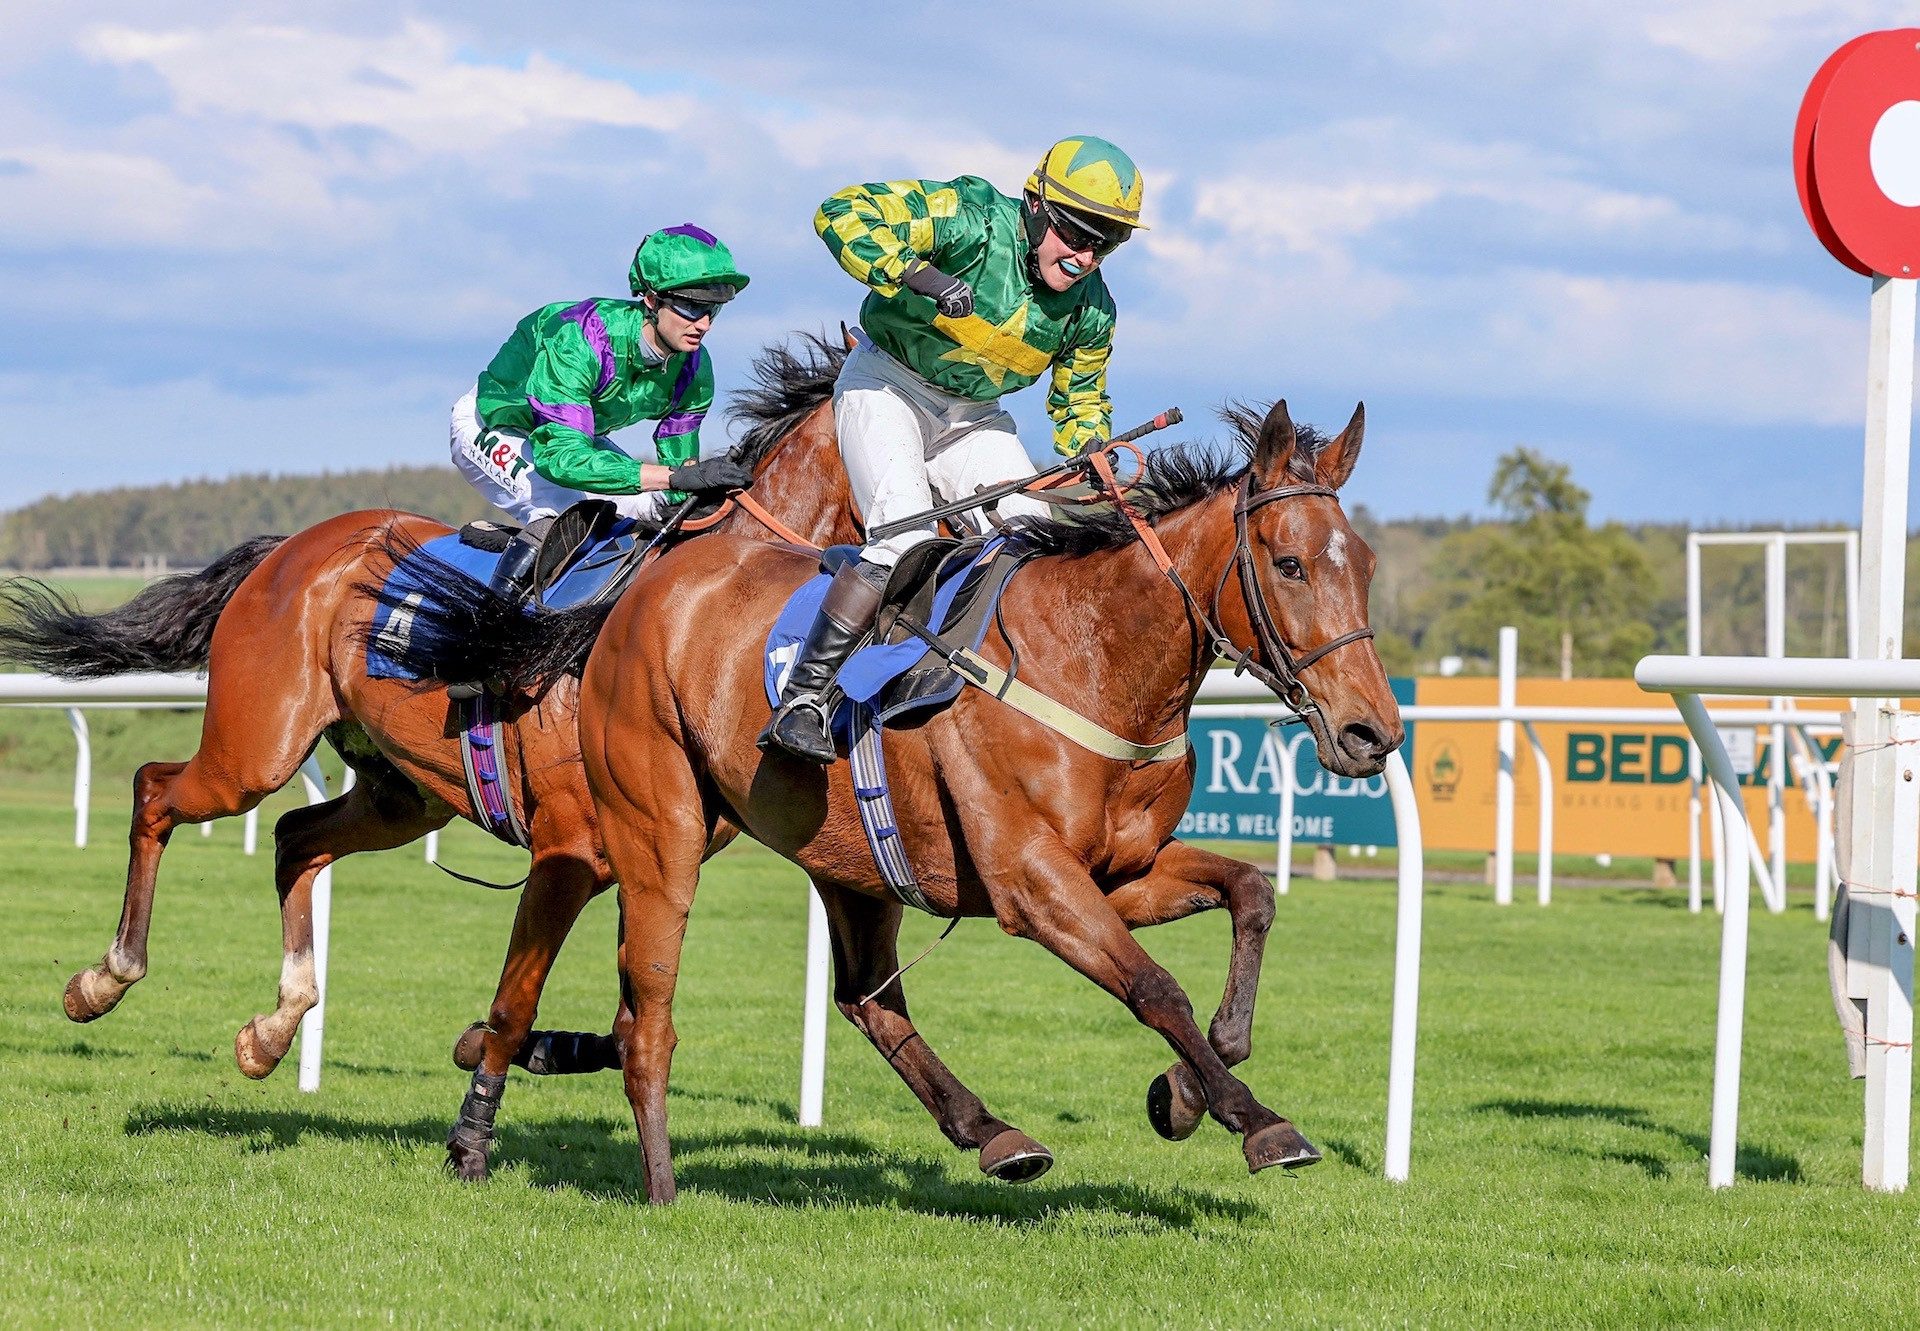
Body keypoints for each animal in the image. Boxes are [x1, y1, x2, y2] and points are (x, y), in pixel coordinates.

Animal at [0, 334, 856, 1113]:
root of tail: (291, 547)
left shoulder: (646, 862)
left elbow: (604, 1017)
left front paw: (499, 1043)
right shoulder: (572, 845)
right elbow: (539, 1000)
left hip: (402, 792)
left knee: (296, 838)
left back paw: (272, 1030)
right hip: (255, 748)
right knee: (156, 790)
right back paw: (102, 979)